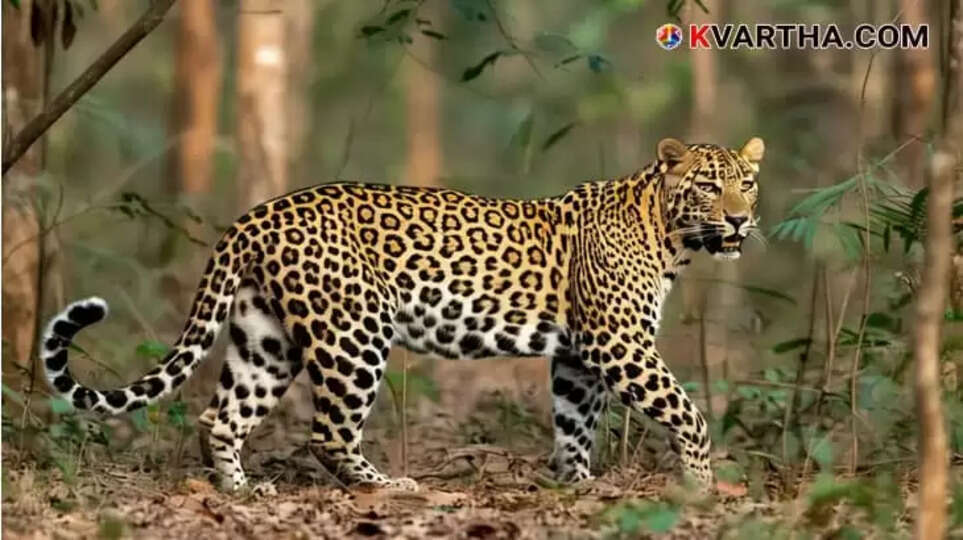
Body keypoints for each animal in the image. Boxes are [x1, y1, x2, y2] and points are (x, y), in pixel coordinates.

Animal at [40, 136, 764, 494]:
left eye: (747, 183)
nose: (739, 219)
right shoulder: (620, 344)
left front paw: (577, 486)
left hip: (263, 340)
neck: (668, 234)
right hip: (354, 334)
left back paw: (241, 491)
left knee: (221, 416)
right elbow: (688, 413)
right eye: (708, 185)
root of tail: (253, 217)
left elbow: (573, 424)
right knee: (328, 433)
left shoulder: (578, 355)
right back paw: (388, 487)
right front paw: (702, 485)